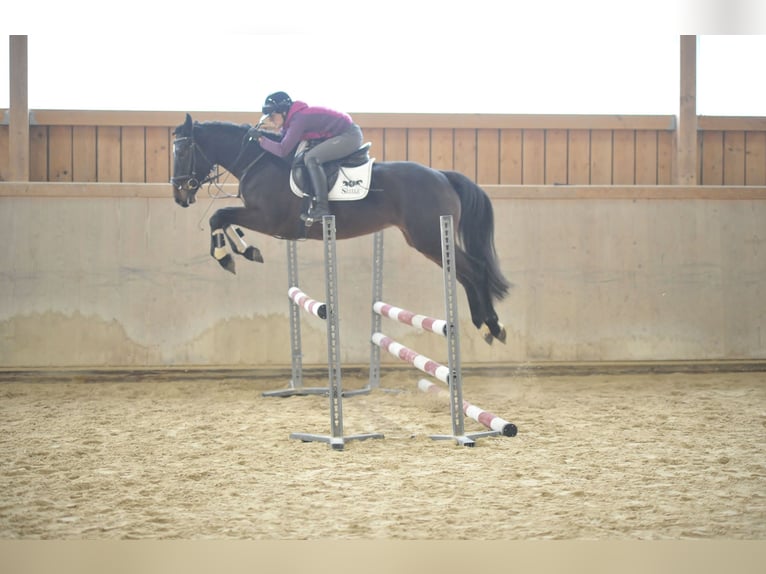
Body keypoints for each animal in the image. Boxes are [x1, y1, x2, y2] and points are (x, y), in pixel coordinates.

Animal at [171, 115, 512, 344]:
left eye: (183, 151)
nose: (179, 196)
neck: (258, 161)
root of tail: (442, 175)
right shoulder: (259, 217)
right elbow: (224, 219)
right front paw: (244, 250)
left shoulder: (267, 218)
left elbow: (219, 217)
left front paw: (227, 256)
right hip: (428, 239)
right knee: (464, 274)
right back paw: (483, 324)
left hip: (428, 237)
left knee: (475, 269)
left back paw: (493, 325)